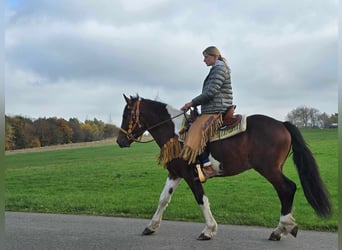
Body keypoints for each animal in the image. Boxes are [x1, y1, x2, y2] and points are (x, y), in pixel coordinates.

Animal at [115, 94, 332, 240]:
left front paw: (209, 230)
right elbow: (163, 199)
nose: (120, 141)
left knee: (287, 188)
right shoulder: (175, 173)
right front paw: (151, 226)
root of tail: (282, 123)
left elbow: (201, 199)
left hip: (269, 169)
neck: (175, 133)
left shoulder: (189, 175)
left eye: (127, 114)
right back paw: (283, 229)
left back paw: (281, 228)